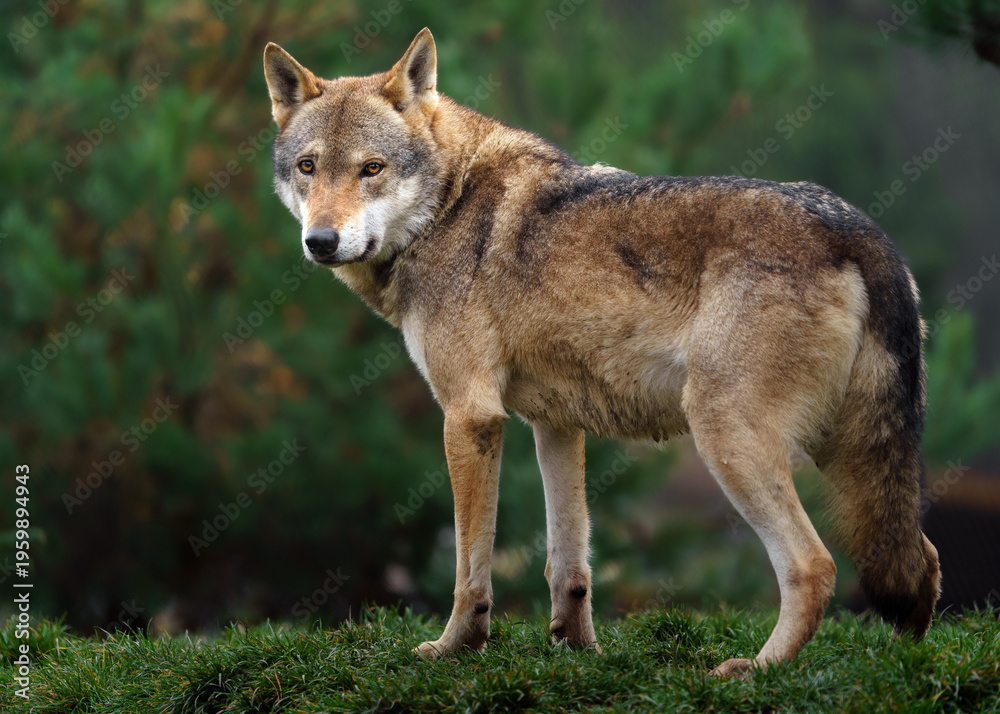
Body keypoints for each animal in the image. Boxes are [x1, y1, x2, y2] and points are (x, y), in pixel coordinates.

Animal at [263, 28, 940, 676]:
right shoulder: (555, 424)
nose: (320, 241)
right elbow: (569, 564)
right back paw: (903, 662)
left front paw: (455, 648)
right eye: (308, 166)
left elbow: (469, 572)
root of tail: (862, 229)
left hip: (730, 437)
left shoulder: (470, 417)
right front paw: (579, 650)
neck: (449, 206)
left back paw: (757, 670)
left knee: (814, 566)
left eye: (371, 169)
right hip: (845, 456)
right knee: (921, 558)